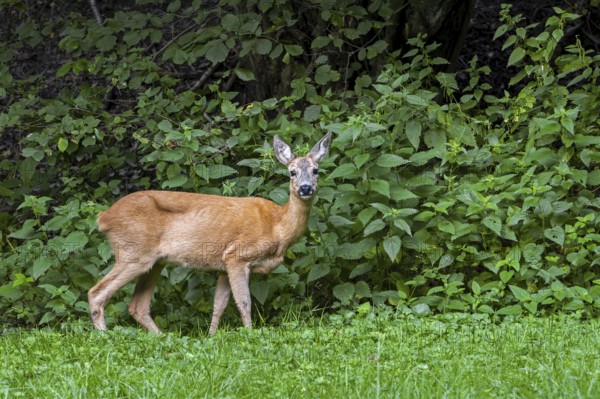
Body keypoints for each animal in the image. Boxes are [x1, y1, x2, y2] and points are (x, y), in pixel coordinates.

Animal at [89, 133, 332, 336]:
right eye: (292, 172)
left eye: (316, 170)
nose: (305, 188)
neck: (277, 225)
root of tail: (104, 217)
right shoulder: (237, 255)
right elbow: (244, 302)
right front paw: (251, 334)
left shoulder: (223, 265)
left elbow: (219, 305)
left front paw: (211, 336)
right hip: (133, 252)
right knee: (97, 292)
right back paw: (105, 335)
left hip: (155, 262)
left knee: (137, 306)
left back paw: (162, 337)